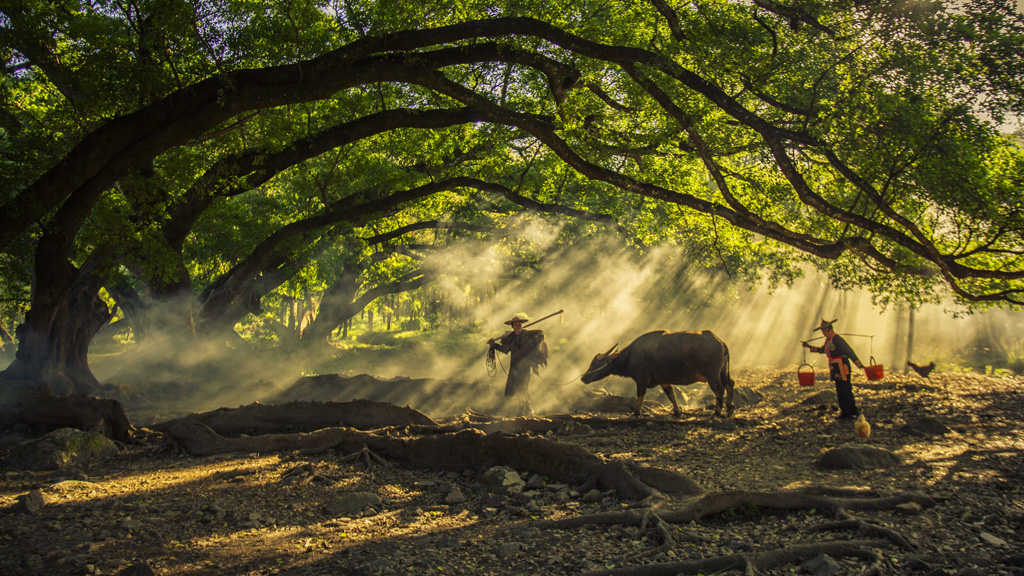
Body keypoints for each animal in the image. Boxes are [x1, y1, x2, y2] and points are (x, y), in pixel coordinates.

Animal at [581, 327, 733, 416]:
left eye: (595, 363)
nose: (583, 378)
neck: (631, 355)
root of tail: (720, 342)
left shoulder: (642, 378)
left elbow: (640, 396)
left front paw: (636, 413)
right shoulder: (663, 381)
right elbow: (671, 395)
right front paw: (677, 412)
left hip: (712, 374)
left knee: (719, 389)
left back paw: (717, 412)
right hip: (723, 372)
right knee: (730, 384)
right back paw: (730, 407)